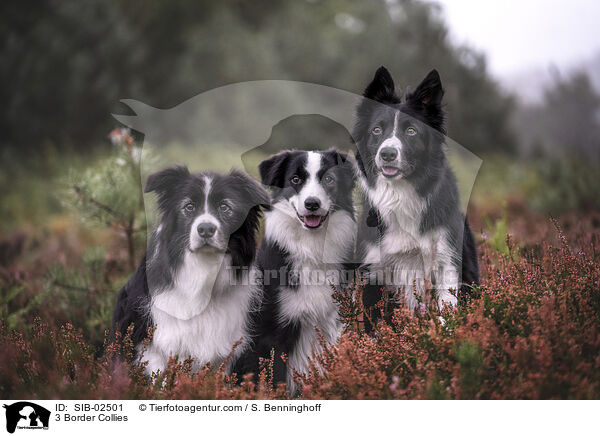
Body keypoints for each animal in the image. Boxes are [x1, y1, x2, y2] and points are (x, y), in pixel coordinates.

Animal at [234, 149, 356, 388]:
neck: (312, 248)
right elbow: (276, 379)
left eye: (329, 179)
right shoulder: (273, 334)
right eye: (295, 179)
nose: (312, 204)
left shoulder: (334, 324)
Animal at [354, 67, 480, 328]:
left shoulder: (446, 260)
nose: (387, 154)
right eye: (376, 130)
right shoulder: (374, 268)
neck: (401, 194)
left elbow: (446, 310)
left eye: (411, 131)